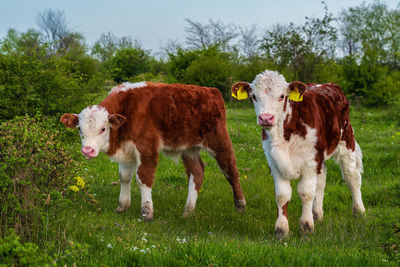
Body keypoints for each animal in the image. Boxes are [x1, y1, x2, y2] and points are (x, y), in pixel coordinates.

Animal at [60, 82, 245, 221]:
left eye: (103, 129)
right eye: (79, 129)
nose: (87, 150)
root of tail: (211, 91)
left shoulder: (147, 147)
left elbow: (143, 179)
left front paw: (146, 213)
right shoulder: (127, 150)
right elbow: (124, 177)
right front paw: (122, 206)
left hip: (218, 138)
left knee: (230, 169)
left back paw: (240, 204)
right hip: (189, 148)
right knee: (197, 172)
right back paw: (188, 211)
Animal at [231, 70, 366, 238]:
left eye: (282, 96)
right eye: (254, 96)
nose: (266, 118)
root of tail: (327, 84)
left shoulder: (310, 161)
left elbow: (306, 193)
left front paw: (306, 227)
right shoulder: (274, 162)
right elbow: (282, 195)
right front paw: (281, 229)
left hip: (345, 141)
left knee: (352, 176)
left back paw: (359, 211)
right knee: (321, 179)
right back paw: (317, 213)